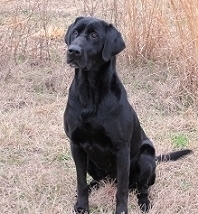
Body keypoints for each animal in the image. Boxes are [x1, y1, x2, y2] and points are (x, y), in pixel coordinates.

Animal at [64, 17, 193, 214]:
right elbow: (81, 181)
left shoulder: (122, 148)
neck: (90, 91)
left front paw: (121, 210)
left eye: (94, 35)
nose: (73, 50)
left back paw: (144, 202)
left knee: (142, 187)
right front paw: (82, 206)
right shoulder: (76, 144)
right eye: (75, 32)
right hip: (91, 163)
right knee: (98, 181)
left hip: (146, 156)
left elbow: (122, 189)